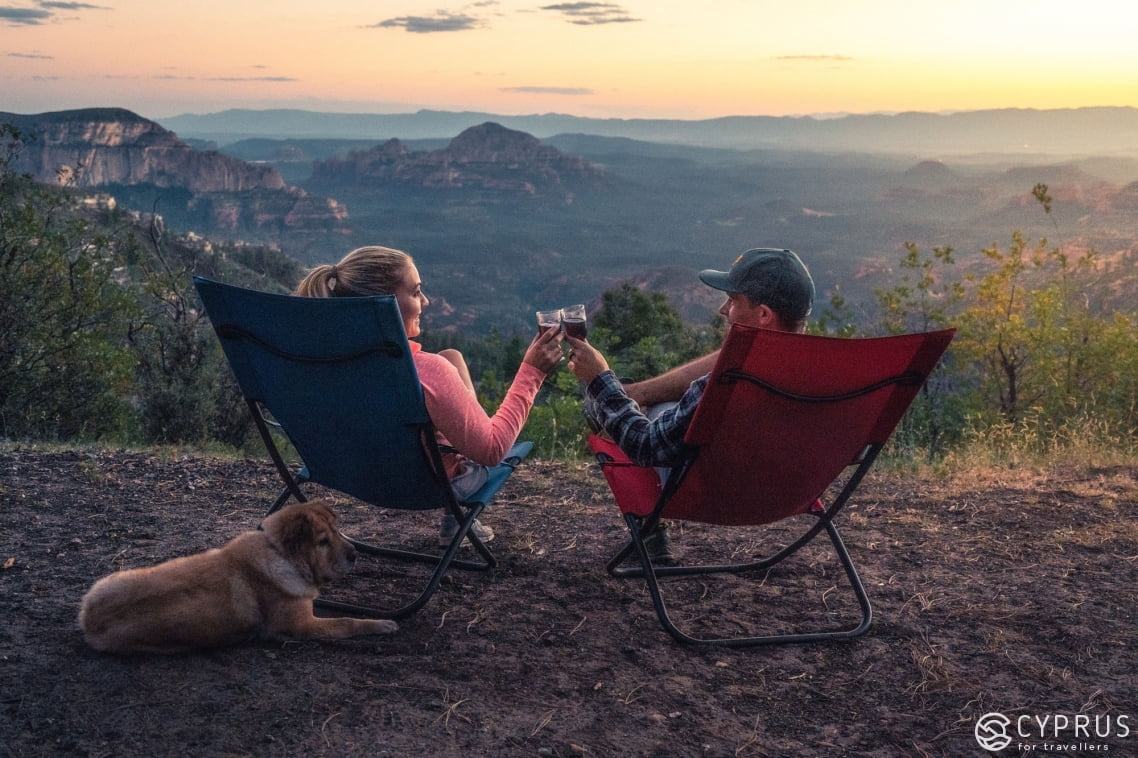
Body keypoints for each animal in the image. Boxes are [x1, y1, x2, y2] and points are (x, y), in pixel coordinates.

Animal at [77, 498, 398, 651]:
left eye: (337, 530)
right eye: (322, 541)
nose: (354, 554)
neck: (280, 555)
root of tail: (89, 619)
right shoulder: (303, 625)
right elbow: (346, 621)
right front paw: (381, 624)